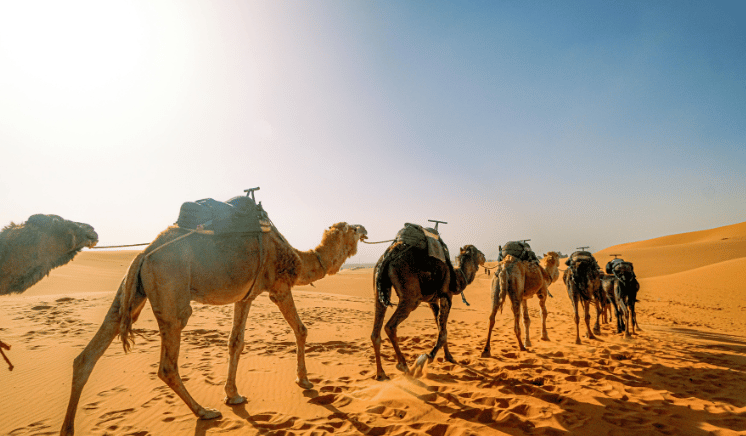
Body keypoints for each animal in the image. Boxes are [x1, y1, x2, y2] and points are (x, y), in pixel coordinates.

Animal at [60, 221, 367, 436]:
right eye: (353, 228)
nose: (365, 229)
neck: (297, 258)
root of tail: (144, 254)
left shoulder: (246, 295)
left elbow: (236, 342)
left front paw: (233, 394)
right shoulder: (278, 287)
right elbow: (302, 330)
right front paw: (304, 380)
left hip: (130, 291)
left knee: (87, 355)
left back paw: (68, 428)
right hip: (171, 294)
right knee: (167, 364)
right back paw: (204, 412)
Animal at [371, 240, 485, 381]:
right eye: (477, 251)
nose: (484, 256)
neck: (457, 277)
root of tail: (388, 256)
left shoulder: (432, 301)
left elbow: (441, 328)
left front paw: (449, 357)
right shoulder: (447, 296)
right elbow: (443, 332)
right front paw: (426, 358)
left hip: (379, 288)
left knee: (375, 332)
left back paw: (381, 373)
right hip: (411, 297)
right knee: (390, 326)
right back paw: (403, 365)